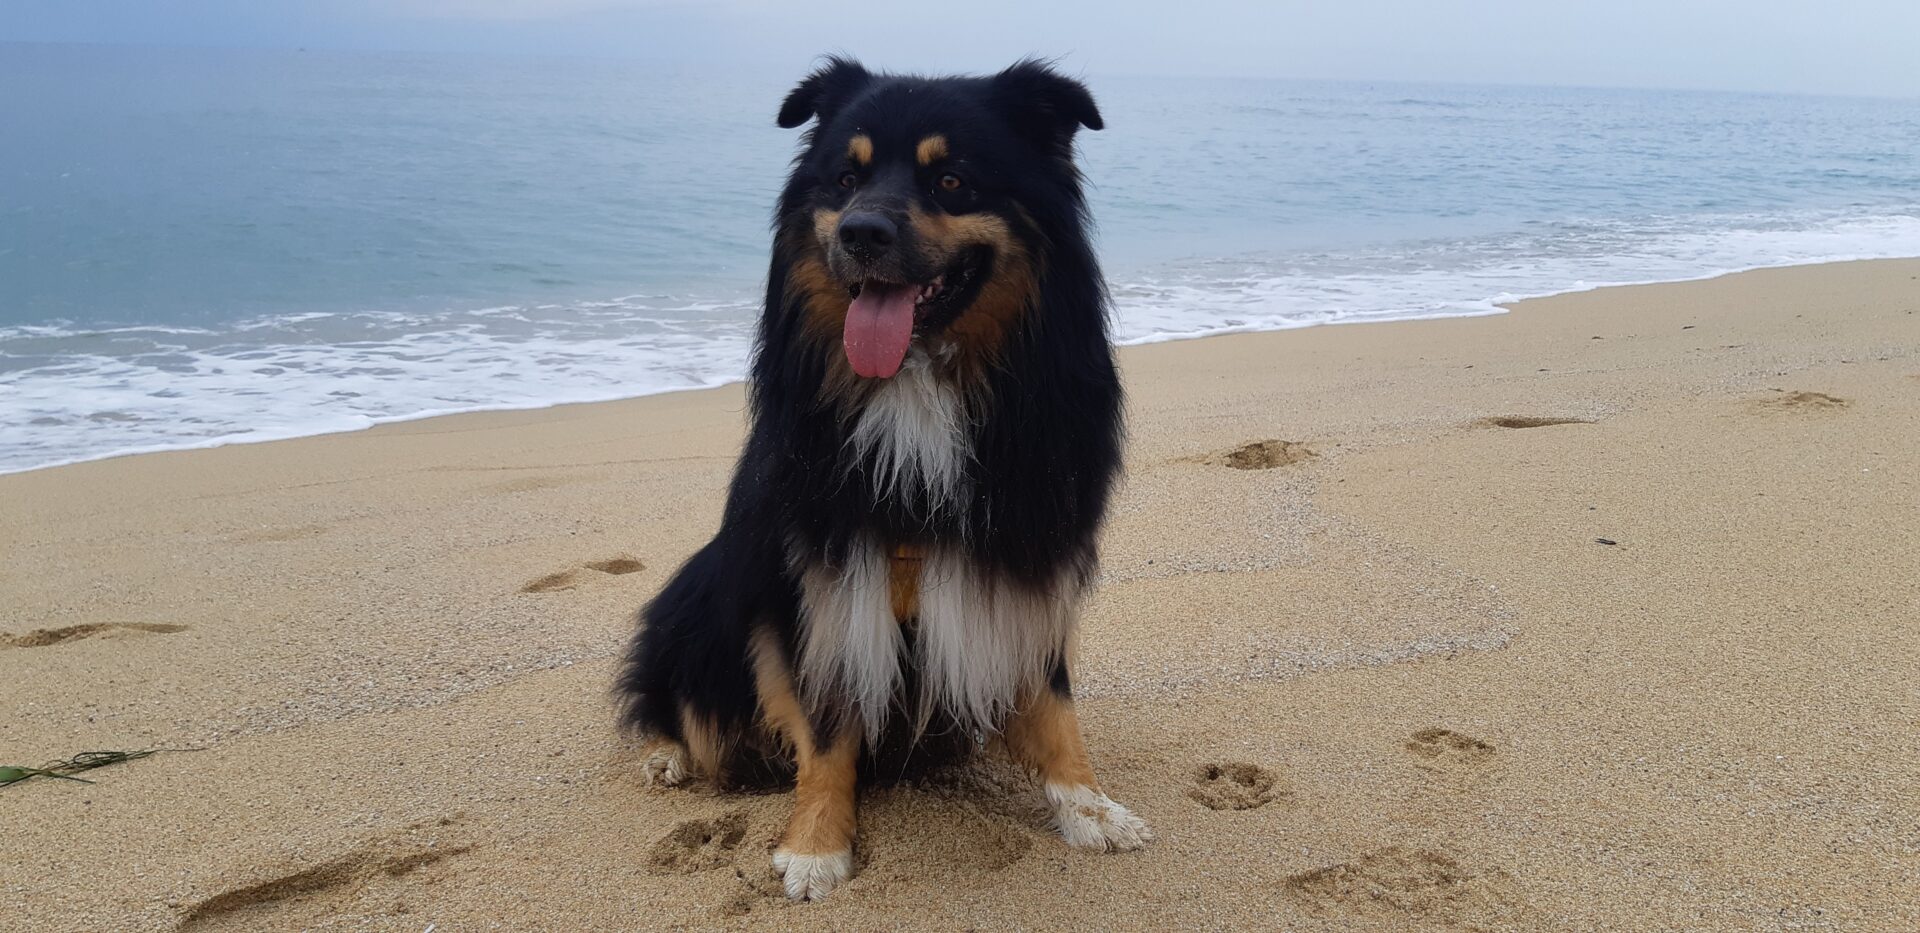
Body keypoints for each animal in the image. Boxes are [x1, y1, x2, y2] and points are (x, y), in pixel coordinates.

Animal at [614, 54, 1136, 898]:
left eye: (951, 179)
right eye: (845, 179)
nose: (861, 232)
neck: (918, 382)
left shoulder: (1028, 547)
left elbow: (1051, 696)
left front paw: (1086, 803)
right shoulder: (819, 574)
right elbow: (829, 724)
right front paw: (817, 845)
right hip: (696, 595)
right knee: (677, 704)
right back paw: (666, 755)